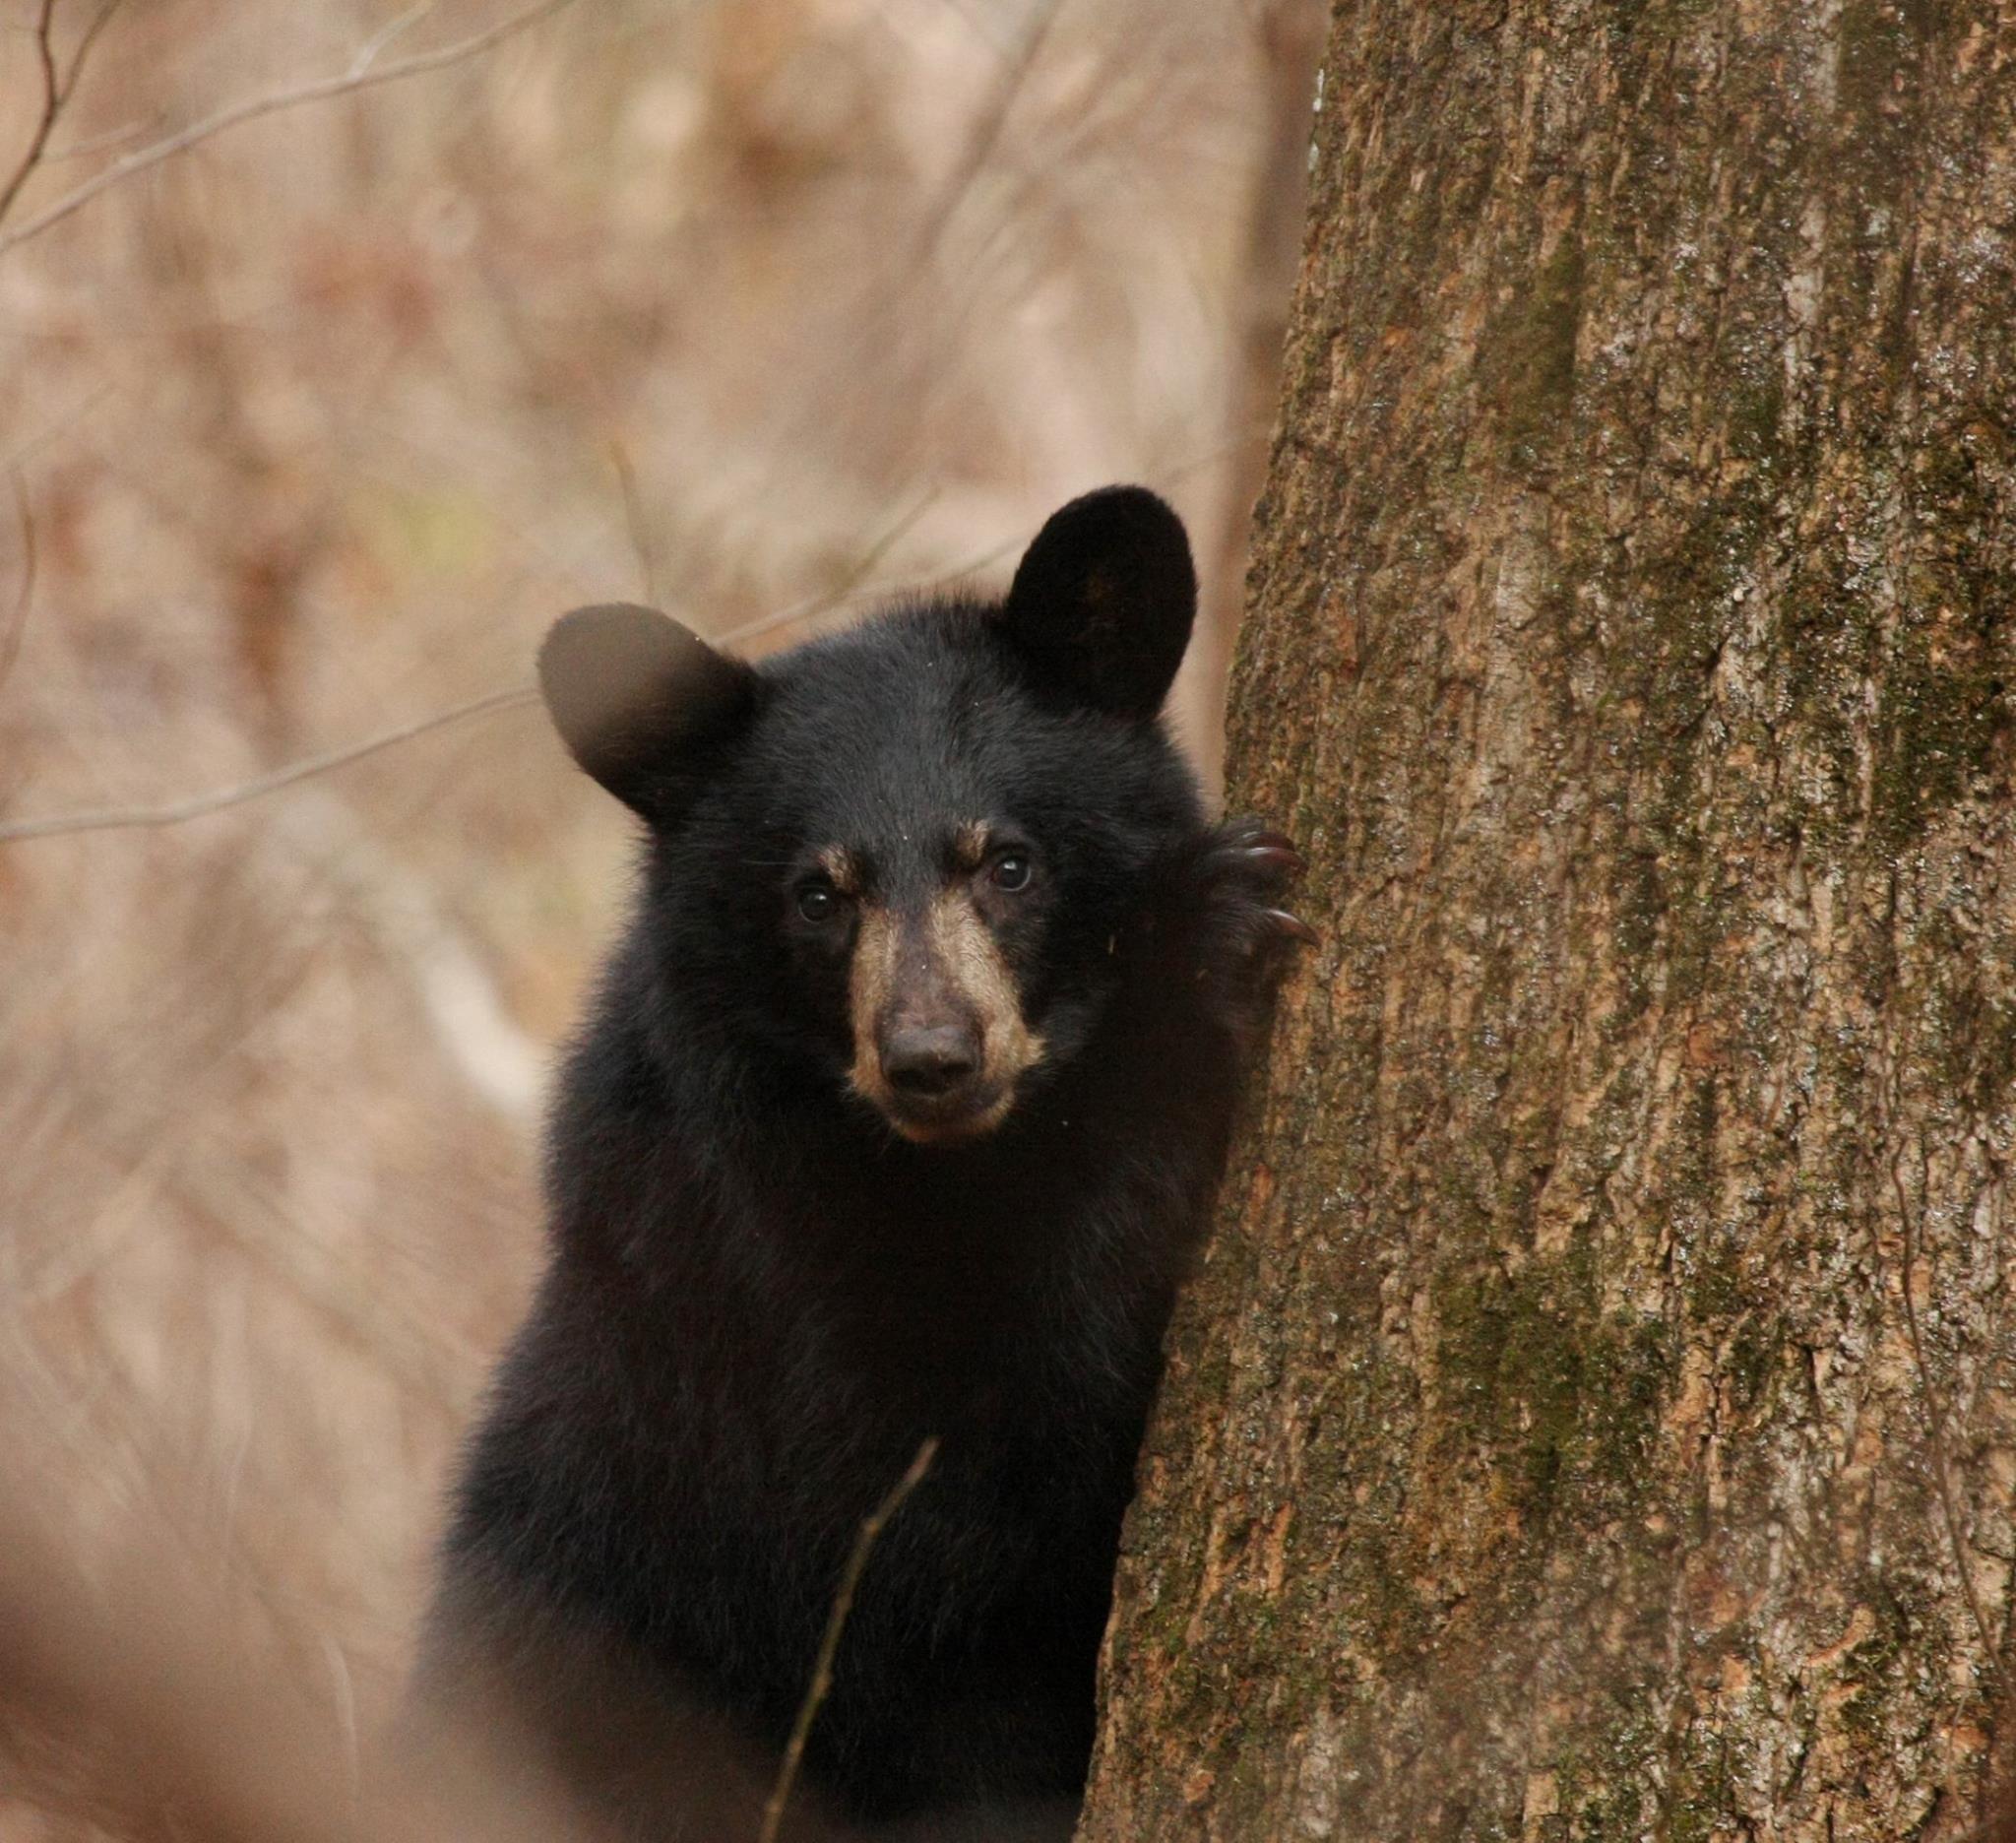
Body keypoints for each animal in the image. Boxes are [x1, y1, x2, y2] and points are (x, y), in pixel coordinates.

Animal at [417, 487, 1309, 1841]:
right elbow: (992, 1457)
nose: (930, 1059)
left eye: (1006, 862)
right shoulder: (762, 1281)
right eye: (817, 895)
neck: (922, 1164)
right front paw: (1202, 940)